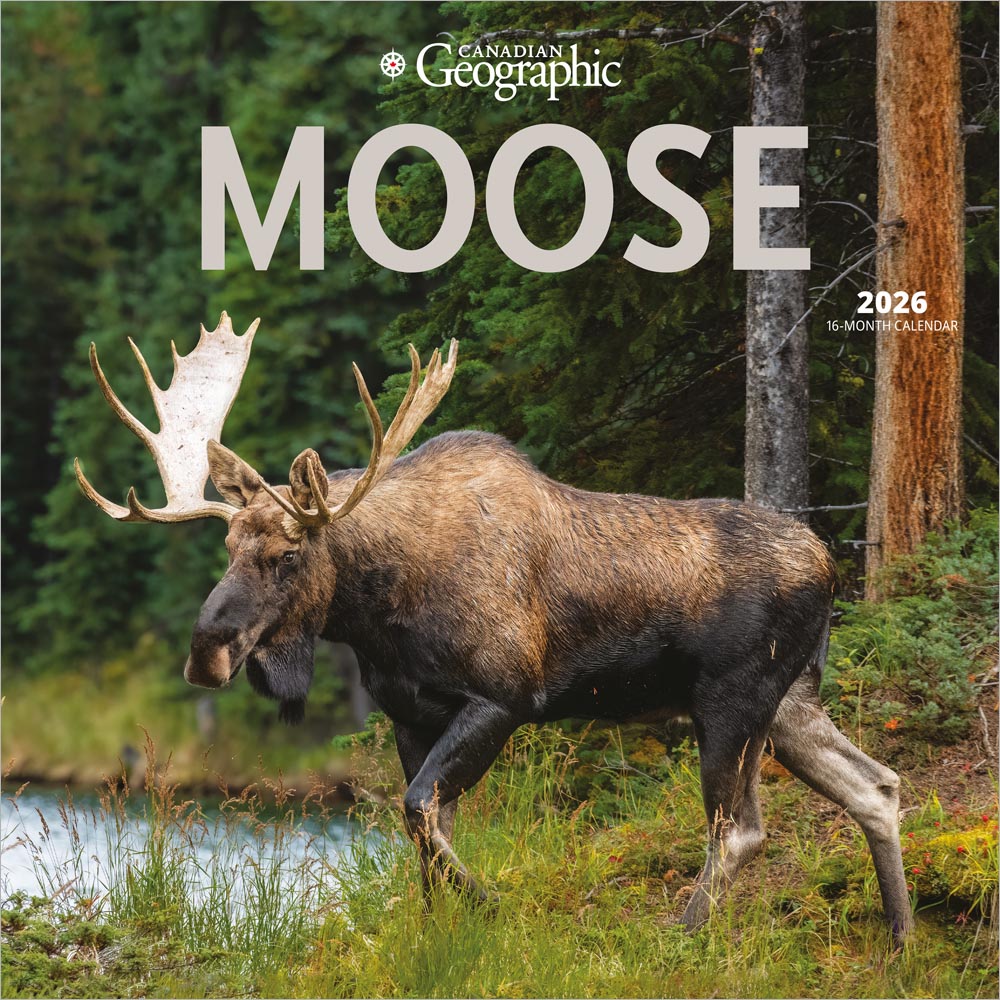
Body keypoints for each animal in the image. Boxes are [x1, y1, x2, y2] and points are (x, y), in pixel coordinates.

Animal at [76, 312, 914, 943]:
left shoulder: (504, 697)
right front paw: (441, 931)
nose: (205, 654)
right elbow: (424, 830)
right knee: (876, 786)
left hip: (733, 700)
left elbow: (419, 812)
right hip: (791, 701)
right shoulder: (410, 712)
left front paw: (490, 906)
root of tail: (829, 563)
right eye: (226, 549)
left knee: (739, 829)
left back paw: (682, 931)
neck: (376, 614)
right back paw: (901, 939)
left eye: (286, 554)